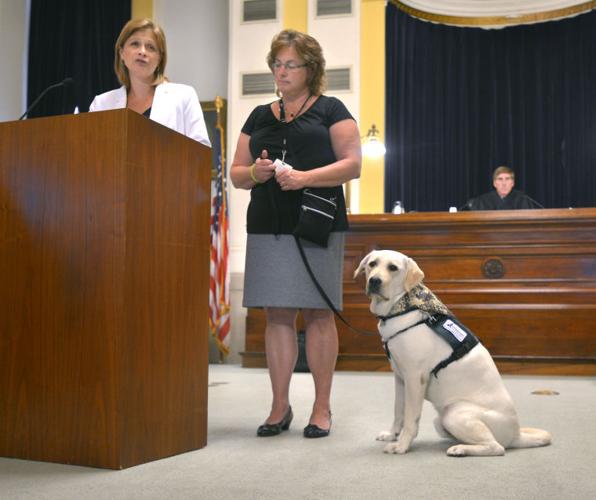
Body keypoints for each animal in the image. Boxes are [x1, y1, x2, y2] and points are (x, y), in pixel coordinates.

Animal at [352, 250, 552, 458]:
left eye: (393, 268)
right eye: (372, 264)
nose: (374, 281)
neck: (402, 306)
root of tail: (517, 434)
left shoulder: (415, 379)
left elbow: (410, 418)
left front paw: (401, 445)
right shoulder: (400, 378)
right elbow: (398, 411)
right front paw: (392, 435)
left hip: (453, 413)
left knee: (497, 447)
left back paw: (461, 449)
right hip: (440, 421)